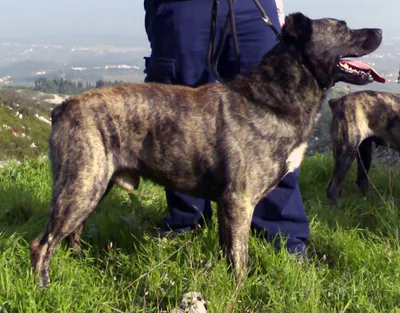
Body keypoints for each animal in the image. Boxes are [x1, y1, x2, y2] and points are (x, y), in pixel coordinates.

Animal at [29, 14, 382, 288]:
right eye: (343, 28)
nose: (379, 31)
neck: (271, 95)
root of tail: (62, 107)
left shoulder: (229, 207)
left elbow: (229, 253)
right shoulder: (240, 203)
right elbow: (240, 260)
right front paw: (240, 293)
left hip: (93, 186)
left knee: (71, 233)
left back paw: (79, 265)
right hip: (82, 186)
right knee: (41, 244)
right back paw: (43, 288)